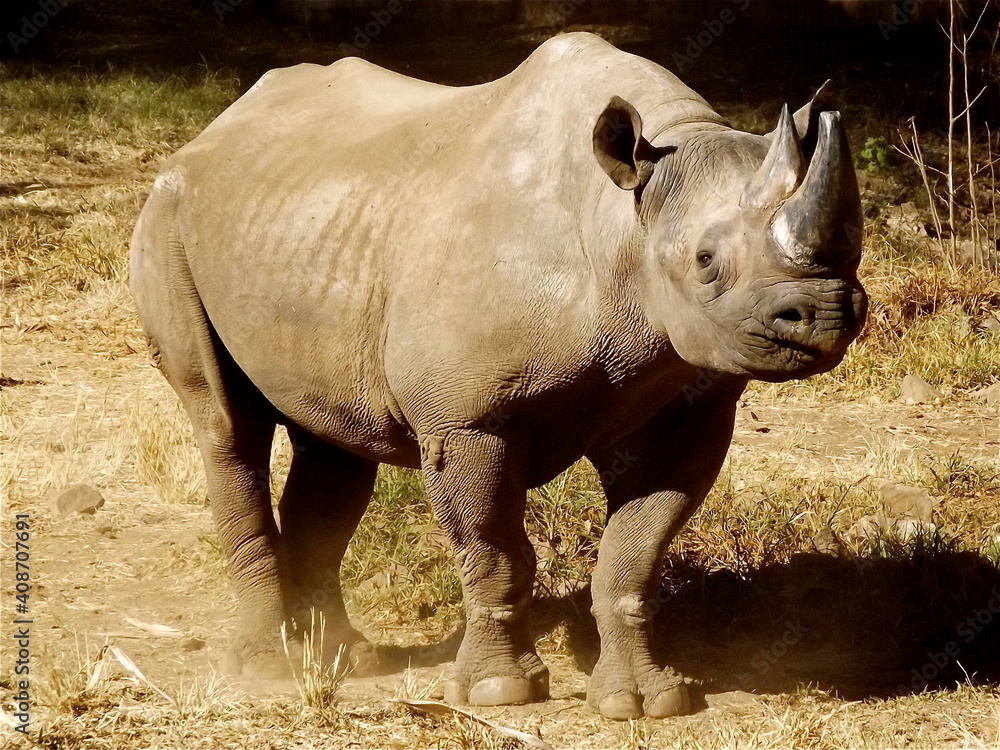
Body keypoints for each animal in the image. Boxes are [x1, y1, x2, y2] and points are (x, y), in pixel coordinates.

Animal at [130, 32, 866, 719]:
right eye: (706, 261)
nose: (826, 313)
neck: (623, 218)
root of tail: (215, 127)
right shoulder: (466, 420)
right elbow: (495, 552)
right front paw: (497, 692)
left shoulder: (684, 414)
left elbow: (633, 557)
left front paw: (648, 702)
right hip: (168, 215)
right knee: (227, 428)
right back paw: (268, 668)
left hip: (309, 227)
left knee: (335, 441)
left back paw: (344, 655)